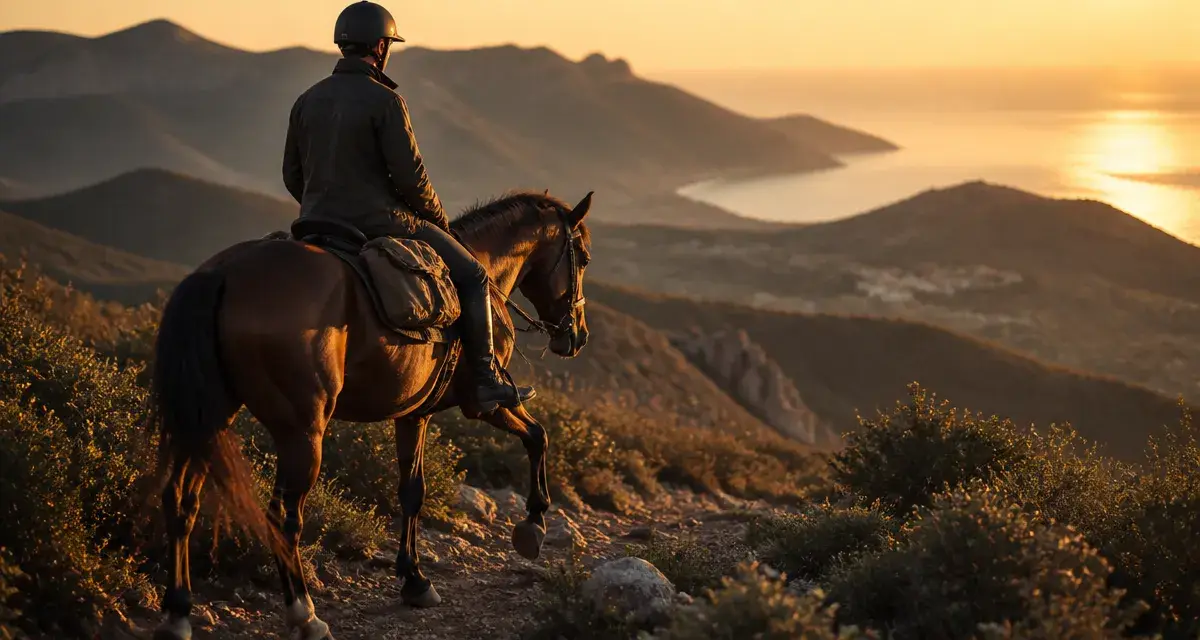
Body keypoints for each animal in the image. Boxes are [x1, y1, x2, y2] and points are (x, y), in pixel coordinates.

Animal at [147, 190, 594, 640]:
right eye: (584, 259)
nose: (577, 337)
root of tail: (223, 273)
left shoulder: (414, 415)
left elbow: (412, 491)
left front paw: (415, 580)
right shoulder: (489, 403)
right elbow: (538, 436)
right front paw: (533, 524)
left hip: (209, 418)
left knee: (182, 502)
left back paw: (178, 613)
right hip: (301, 432)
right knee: (282, 519)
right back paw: (305, 614)